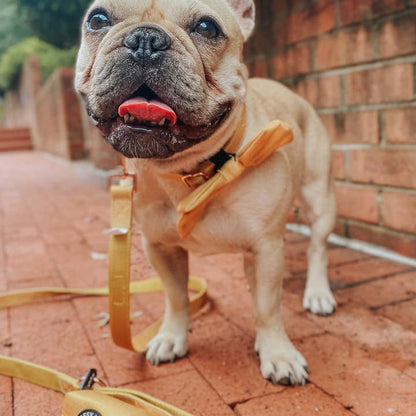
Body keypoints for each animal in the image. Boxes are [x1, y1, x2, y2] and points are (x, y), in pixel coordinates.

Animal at [75, 0, 338, 386]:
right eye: (97, 20)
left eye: (206, 27)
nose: (145, 40)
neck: (193, 171)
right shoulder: (161, 248)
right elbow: (176, 297)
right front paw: (172, 336)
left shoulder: (267, 248)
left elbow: (268, 307)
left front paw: (278, 354)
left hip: (319, 199)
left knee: (317, 248)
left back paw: (318, 294)